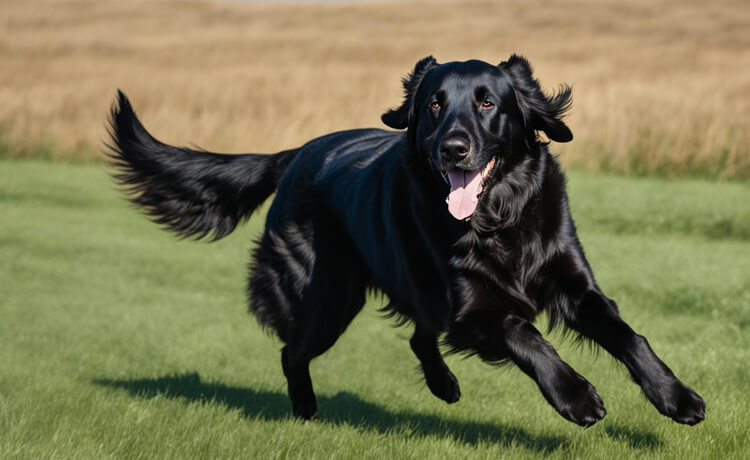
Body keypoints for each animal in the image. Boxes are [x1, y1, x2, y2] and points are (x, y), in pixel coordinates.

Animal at [108, 54, 708, 428]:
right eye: (434, 105)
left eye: (487, 103)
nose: (454, 149)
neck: (498, 218)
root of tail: (297, 152)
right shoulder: (473, 310)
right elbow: (526, 335)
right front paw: (576, 396)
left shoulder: (573, 283)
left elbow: (629, 336)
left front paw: (676, 397)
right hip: (328, 298)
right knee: (292, 351)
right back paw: (307, 413)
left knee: (419, 336)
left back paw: (443, 386)